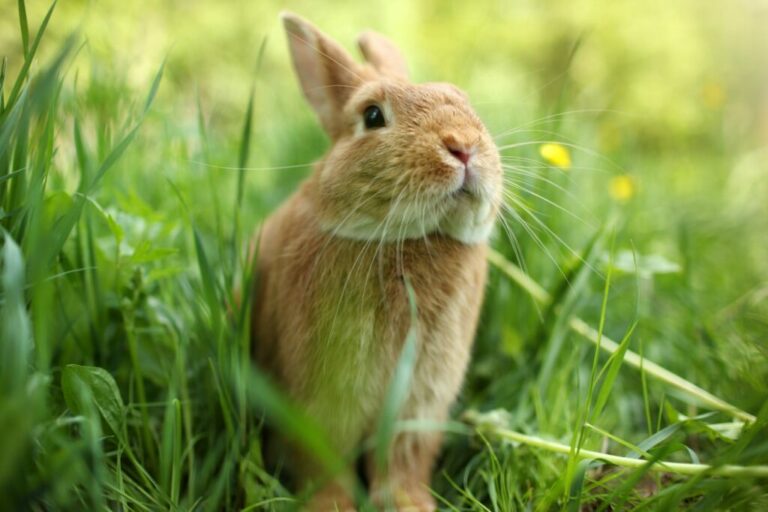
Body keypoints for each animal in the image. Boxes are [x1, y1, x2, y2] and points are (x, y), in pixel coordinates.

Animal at [251, 12, 502, 511]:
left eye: (465, 102)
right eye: (371, 116)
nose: (463, 147)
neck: (407, 241)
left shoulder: (420, 403)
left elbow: (403, 461)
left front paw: (411, 504)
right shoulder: (320, 400)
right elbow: (323, 460)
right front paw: (331, 506)